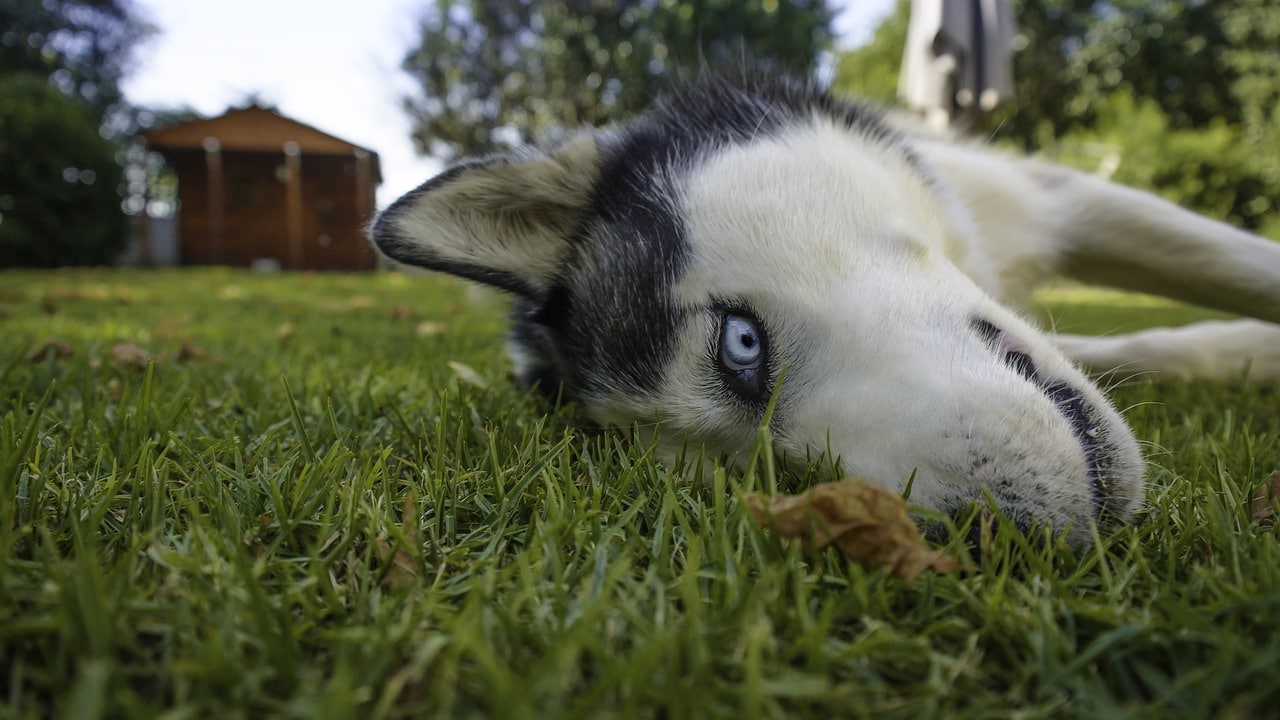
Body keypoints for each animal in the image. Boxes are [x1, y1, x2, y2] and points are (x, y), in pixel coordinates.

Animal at [371, 77, 1280, 538]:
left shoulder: (1051, 197)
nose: (1010, 534)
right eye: (782, 475)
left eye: (741, 345)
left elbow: (1242, 265)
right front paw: (1245, 352)